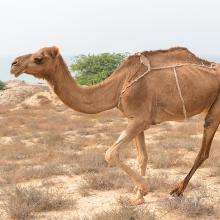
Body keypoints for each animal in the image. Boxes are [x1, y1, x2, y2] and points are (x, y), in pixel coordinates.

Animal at [10, 46, 220, 205]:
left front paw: (144, 188)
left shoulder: (139, 120)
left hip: (215, 109)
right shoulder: (136, 119)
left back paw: (177, 190)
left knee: (203, 150)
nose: (14, 64)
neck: (117, 86)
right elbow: (142, 157)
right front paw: (138, 197)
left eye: (38, 59)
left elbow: (110, 153)